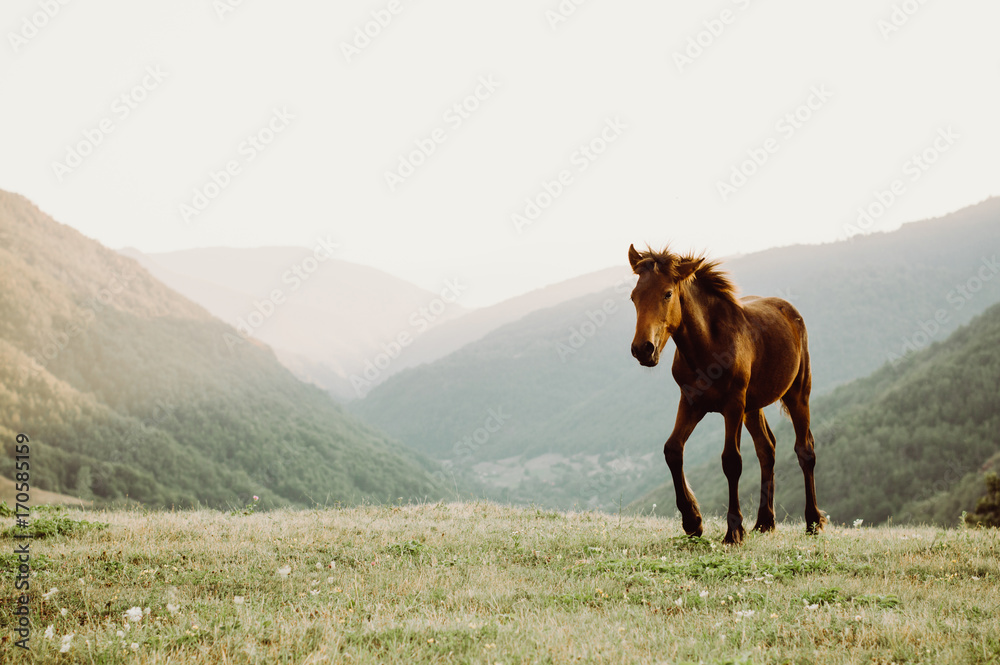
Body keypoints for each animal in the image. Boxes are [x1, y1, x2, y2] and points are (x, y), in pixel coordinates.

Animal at [628, 245, 824, 544]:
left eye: (667, 293)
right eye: (634, 296)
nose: (643, 349)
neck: (709, 345)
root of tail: (790, 310)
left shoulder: (733, 404)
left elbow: (731, 461)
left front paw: (733, 532)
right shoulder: (691, 402)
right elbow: (672, 450)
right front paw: (692, 521)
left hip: (797, 393)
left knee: (805, 450)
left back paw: (813, 521)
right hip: (753, 407)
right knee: (767, 449)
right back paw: (764, 522)